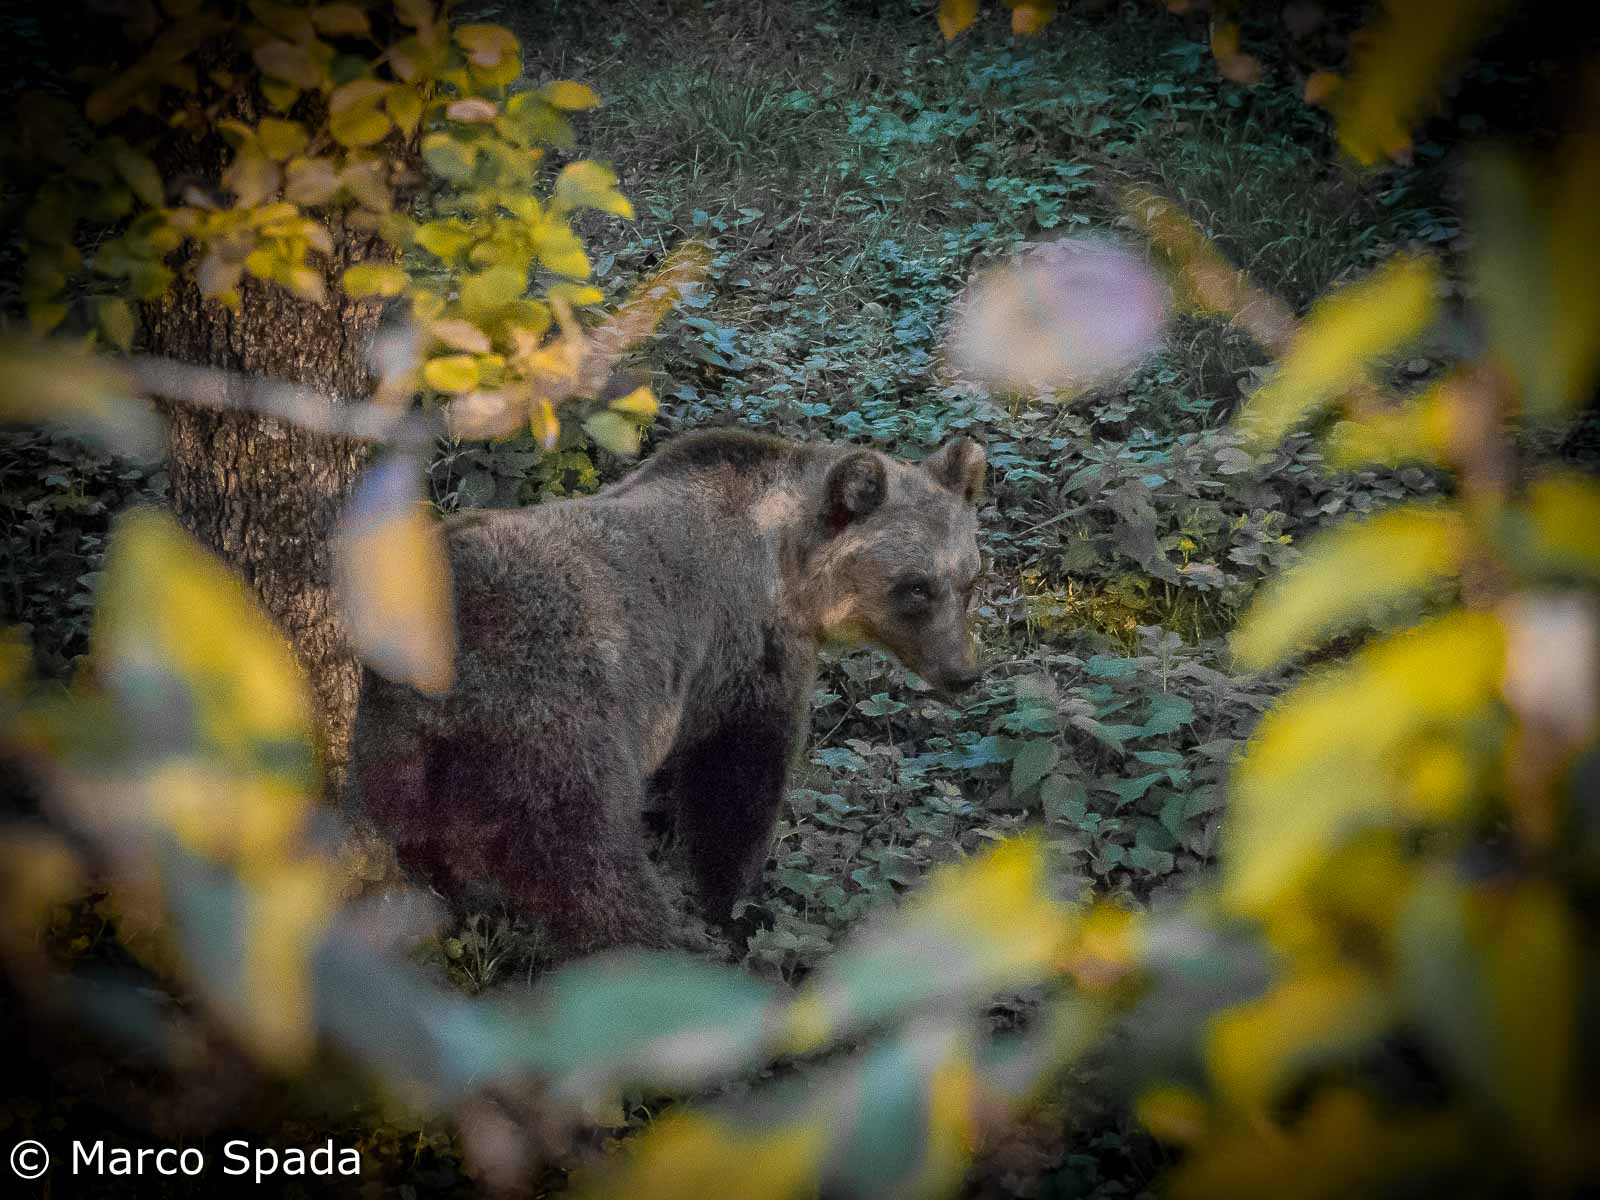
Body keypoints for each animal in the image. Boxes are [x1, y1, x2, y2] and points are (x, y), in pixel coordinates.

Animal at [347, 428, 986, 956]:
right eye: (916, 587)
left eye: (969, 579)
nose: (963, 671)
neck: (789, 569)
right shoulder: (745, 654)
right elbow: (737, 785)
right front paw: (734, 900)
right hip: (552, 724)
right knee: (595, 871)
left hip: (395, 750)